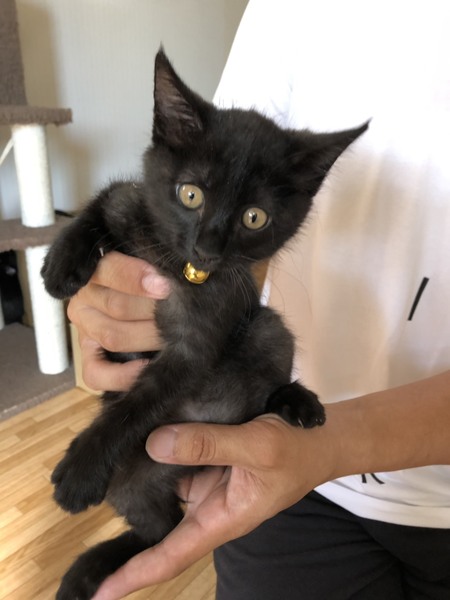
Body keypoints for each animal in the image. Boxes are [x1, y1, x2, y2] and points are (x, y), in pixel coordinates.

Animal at [41, 48, 367, 599]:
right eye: (190, 195)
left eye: (254, 218)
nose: (209, 247)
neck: (176, 265)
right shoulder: (132, 203)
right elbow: (104, 200)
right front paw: (61, 264)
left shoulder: (198, 341)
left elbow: (137, 404)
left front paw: (82, 470)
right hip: (132, 479)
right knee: (160, 529)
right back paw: (89, 568)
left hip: (266, 328)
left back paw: (296, 402)